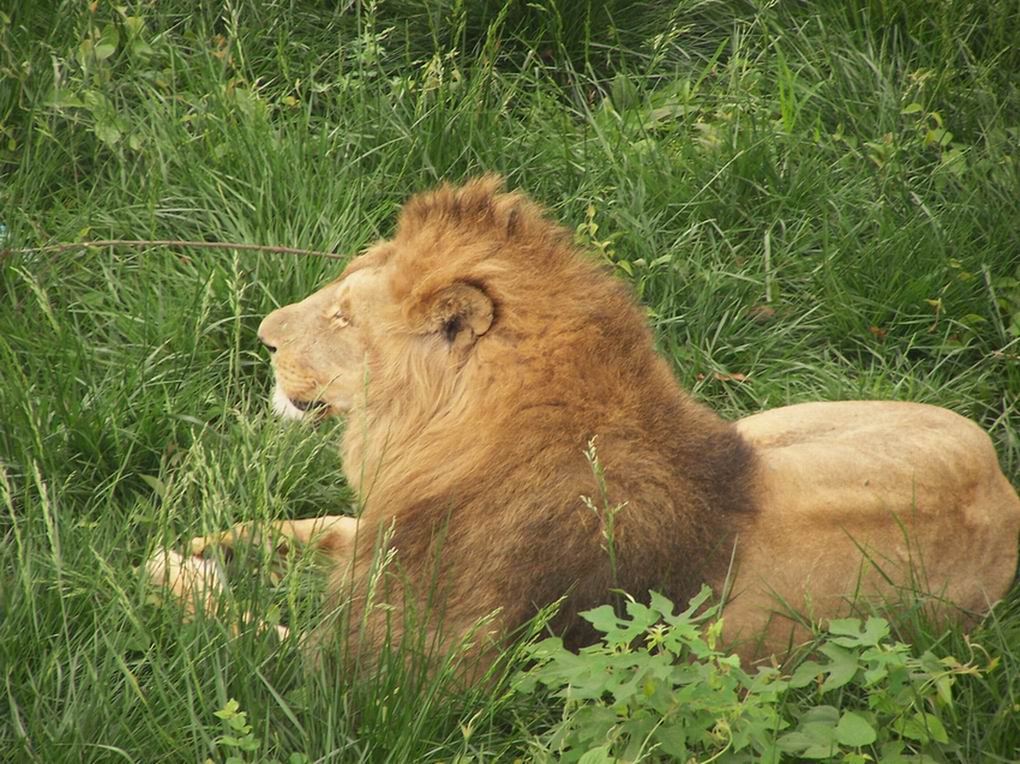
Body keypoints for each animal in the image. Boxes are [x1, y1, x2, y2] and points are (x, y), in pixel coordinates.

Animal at [150, 175, 1020, 669]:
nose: (263, 335)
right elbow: (306, 529)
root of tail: (1005, 491)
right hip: (771, 429)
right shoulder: (385, 539)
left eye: (341, 315)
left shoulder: (403, 669)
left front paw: (171, 570)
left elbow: (234, 626)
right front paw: (200, 543)